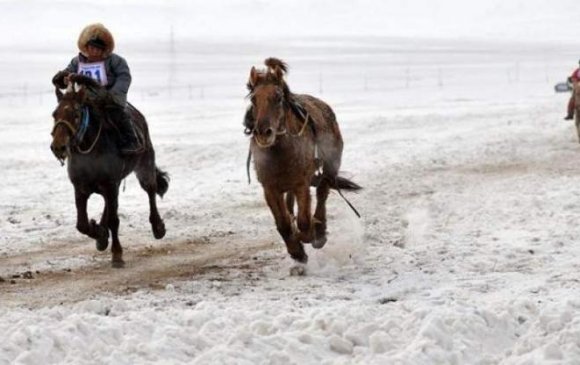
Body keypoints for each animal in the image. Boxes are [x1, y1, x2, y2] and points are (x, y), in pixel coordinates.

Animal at [50, 74, 169, 268]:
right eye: (54, 114)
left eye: (76, 114)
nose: (58, 147)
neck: (90, 150)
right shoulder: (81, 188)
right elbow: (81, 224)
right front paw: (99, 233)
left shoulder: (110, 185)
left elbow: (114, 220)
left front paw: (117, 254)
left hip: (144, 166)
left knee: (150, 190)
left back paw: (158, 227)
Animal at [246, 57, 362, 264]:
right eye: (253, 99)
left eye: (278, 98)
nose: (263, 132)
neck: (280, 153)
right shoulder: (269, 188)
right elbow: (283, 224)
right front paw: (297, 251)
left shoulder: (301, 183)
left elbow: (304, 222)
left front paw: (311, 235)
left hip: (330, 166)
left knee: (323, 192)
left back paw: (320, 230)